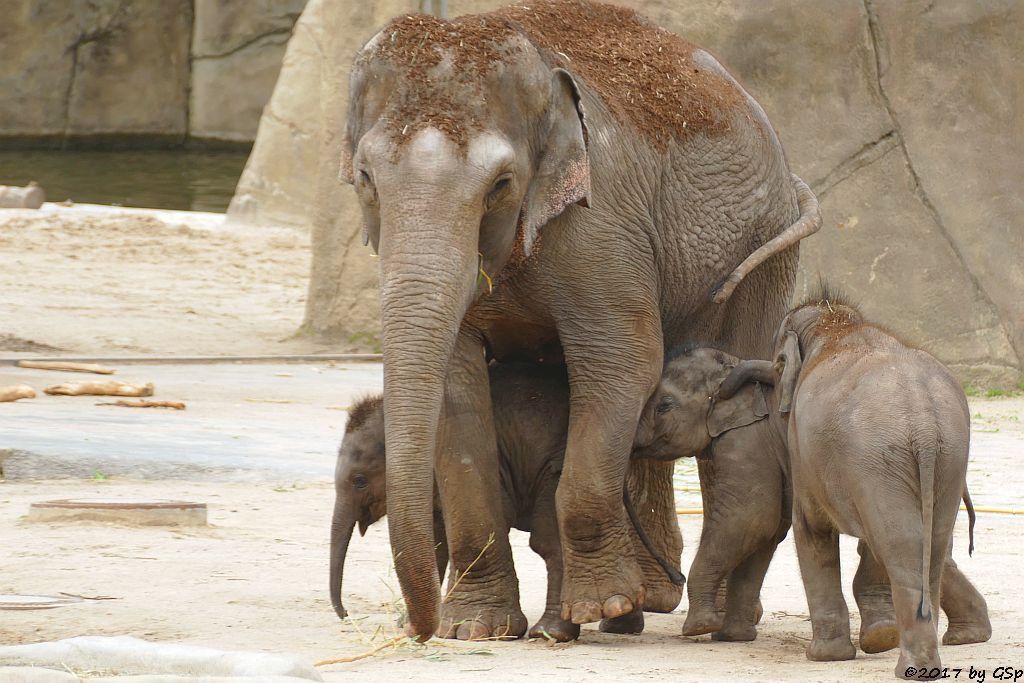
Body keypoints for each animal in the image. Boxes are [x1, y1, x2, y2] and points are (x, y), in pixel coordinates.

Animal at [327, 362, 684, 643]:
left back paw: (551, 633)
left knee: (549, 539)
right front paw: (408, 622)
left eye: (359, 480)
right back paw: (619, 622)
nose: (345, 614)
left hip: (556, 462)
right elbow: (437, 540)